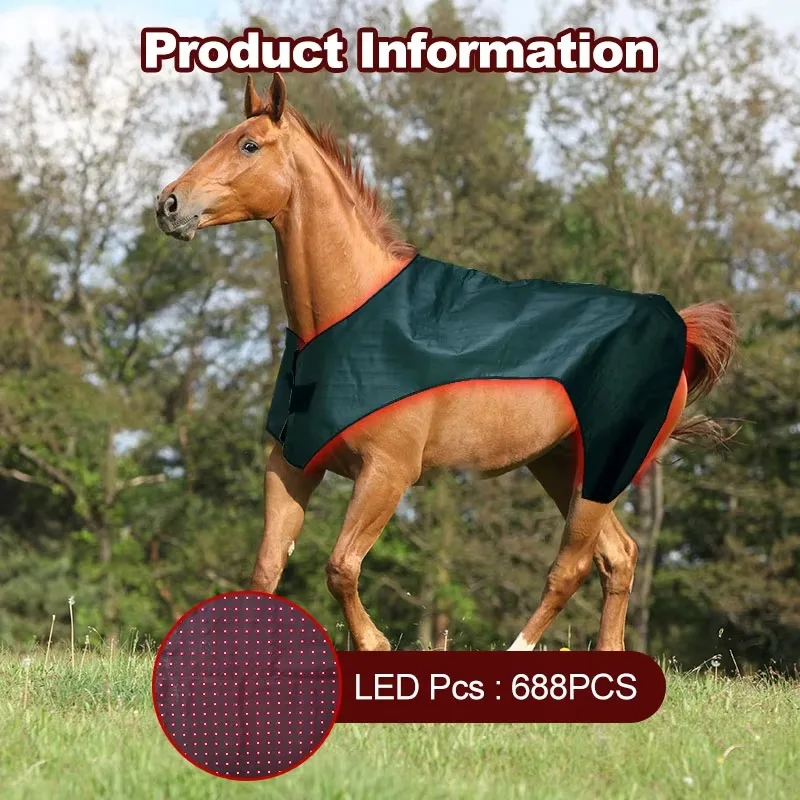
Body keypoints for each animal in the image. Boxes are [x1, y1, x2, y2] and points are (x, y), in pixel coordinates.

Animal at [155, 74, 736, 652]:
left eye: (249, 145)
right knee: (618, 556)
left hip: (601, 474)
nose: (168, 204)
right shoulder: (292, 465)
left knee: (569, 568)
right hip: (561, 465)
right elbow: (266, 572)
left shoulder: (387, 473)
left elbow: (341, 567)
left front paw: (374, 644)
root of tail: (678, 330)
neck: (347, 319)